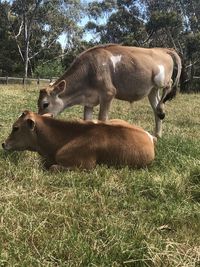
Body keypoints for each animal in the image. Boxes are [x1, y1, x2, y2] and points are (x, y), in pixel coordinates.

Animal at [37, 44, 181, 138]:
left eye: (45, 104)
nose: (38, 121)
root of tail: (162, 49)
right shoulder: (89, 101)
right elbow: (87, 120)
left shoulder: (108, 93)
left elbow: (102, 119)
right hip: (152, 89)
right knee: (155, 107)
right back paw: (157, 134)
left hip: (160, 80)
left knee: (170, 84)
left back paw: (161, 110)